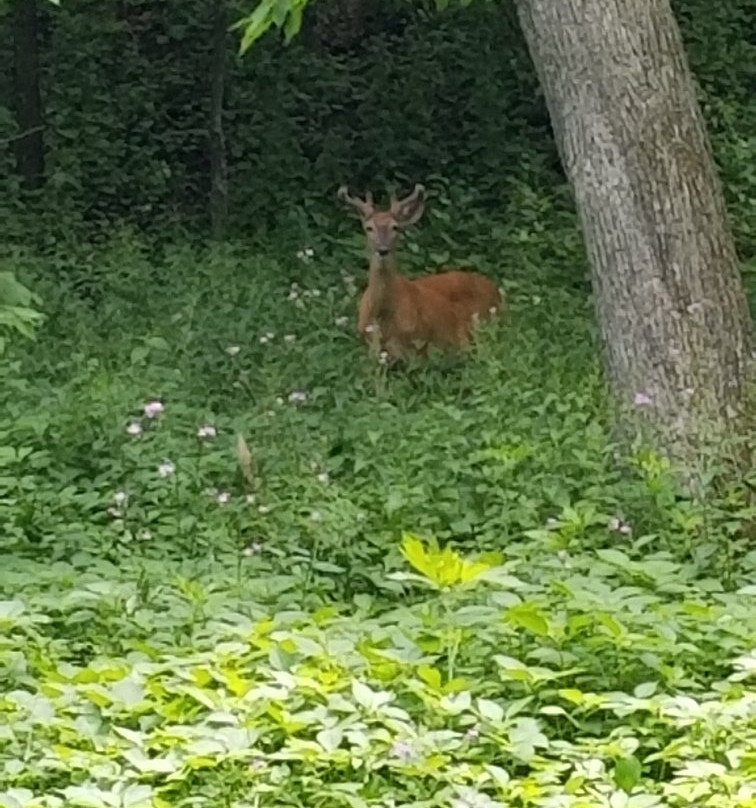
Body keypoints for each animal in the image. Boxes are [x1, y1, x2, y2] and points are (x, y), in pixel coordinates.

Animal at [338, 183, 502, 362]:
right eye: (369, 228)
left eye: (395, 227)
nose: (382, 250)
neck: (382, 317)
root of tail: (496, 291)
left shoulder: (415, 347)